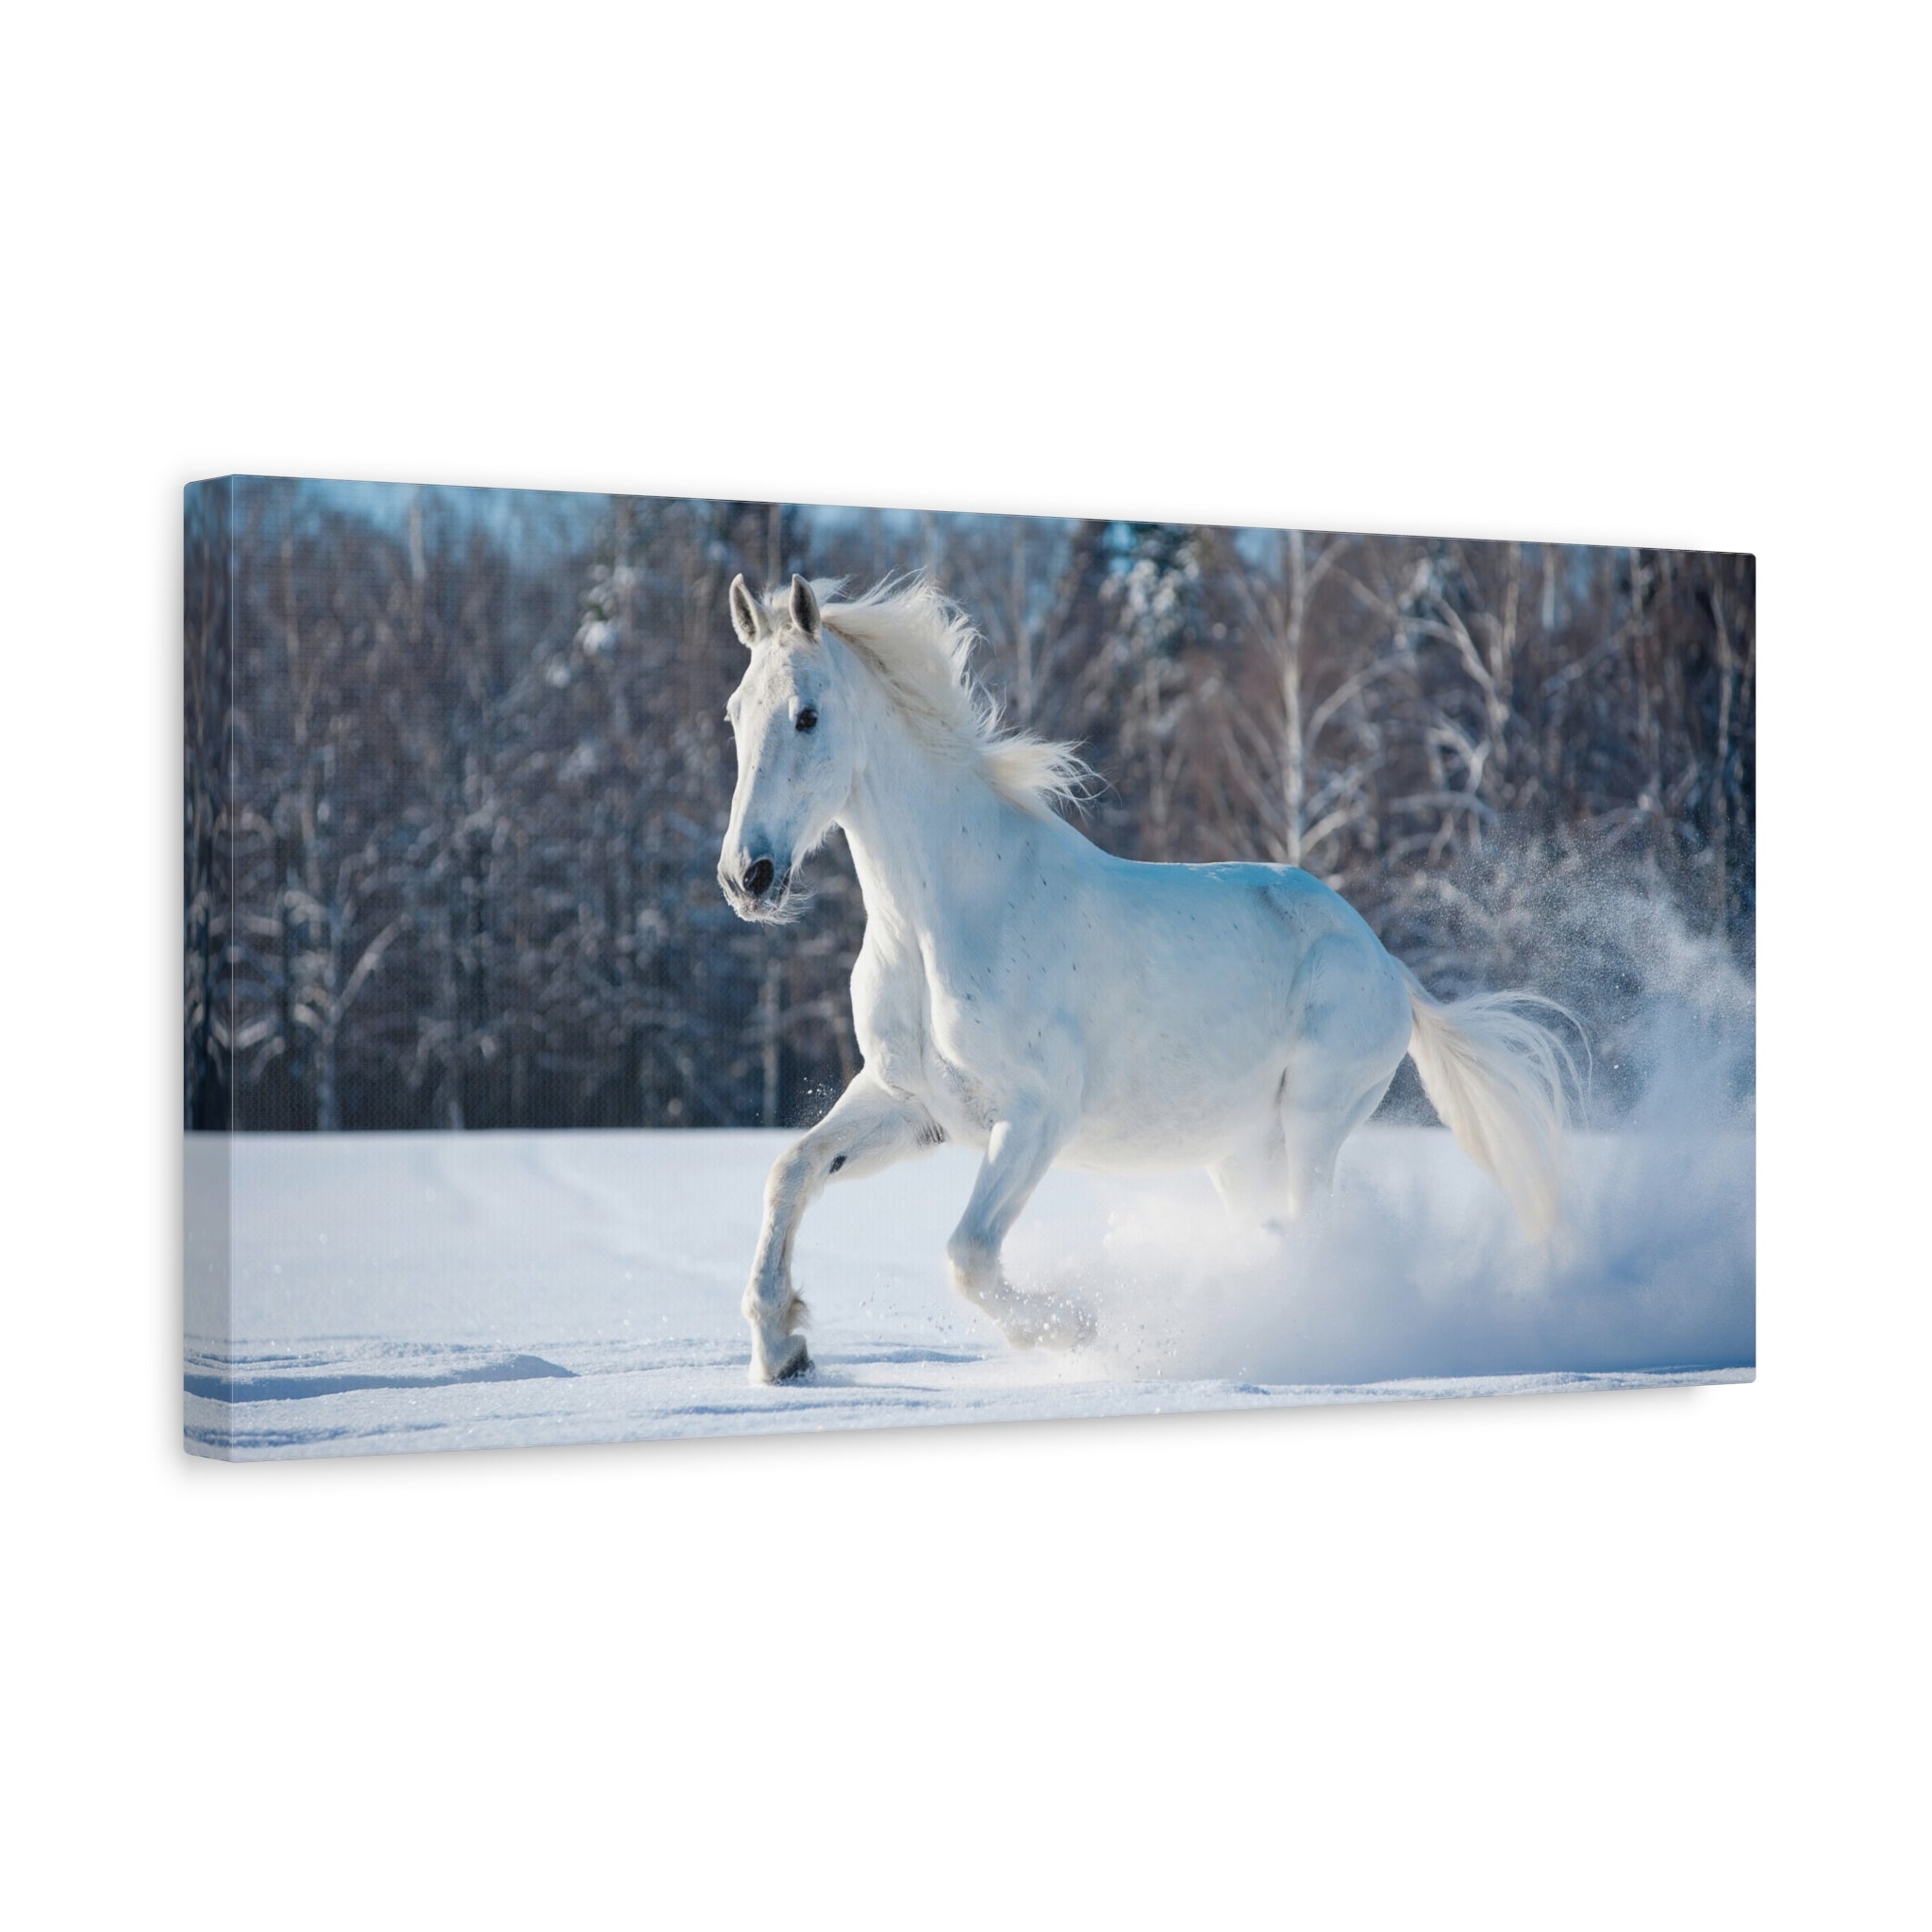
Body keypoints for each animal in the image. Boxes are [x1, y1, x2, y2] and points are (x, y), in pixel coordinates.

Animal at [718, 571, 1577, 1384]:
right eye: (733, 714)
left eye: (806, 714)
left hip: (1315, 1120)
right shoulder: (910, 1104)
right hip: (1239, 1150)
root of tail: (1386, 963)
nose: (746, 877)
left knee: (1312, 1236)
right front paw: (782, 1350)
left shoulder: (1036, 1116)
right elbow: (790, 1173)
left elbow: (968, 1256)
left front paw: (1076, 1327)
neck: (941, 922)